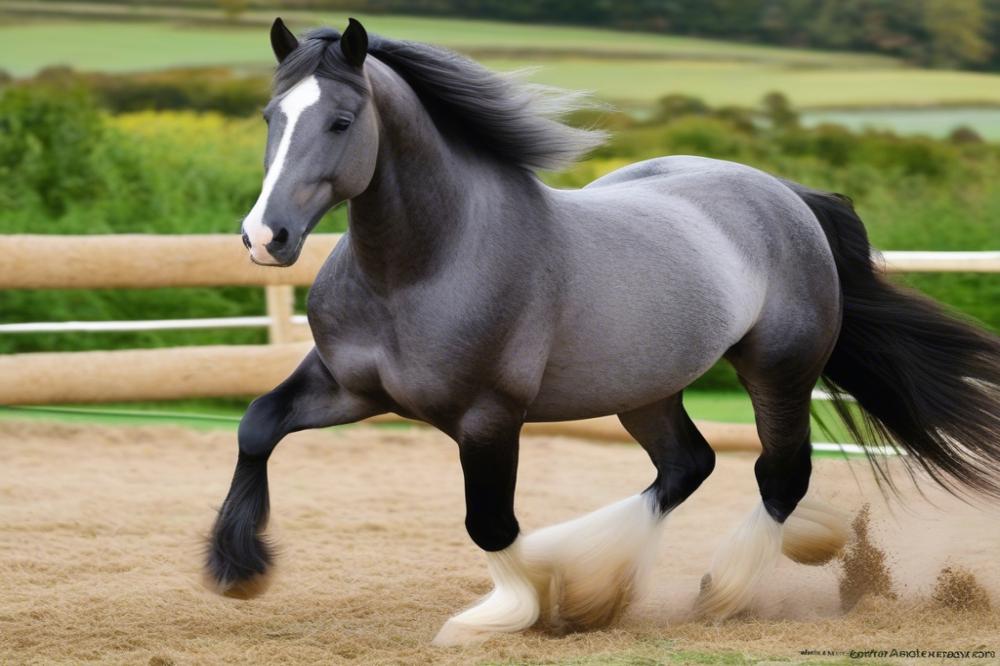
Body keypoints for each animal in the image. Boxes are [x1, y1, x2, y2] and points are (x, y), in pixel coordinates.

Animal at [203, 18, 1000, 644]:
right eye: (271, 117)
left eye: (341, 122)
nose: (264, 237)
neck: (424, 264)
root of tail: (786, 195)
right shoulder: (347, 386)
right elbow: (257, 425)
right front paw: (238, 570)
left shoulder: (488, 416)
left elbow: (489, 521)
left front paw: (500, 614)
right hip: (646, 389)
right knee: (686, 466)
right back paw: (588, 580)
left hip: (777, 370)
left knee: (779, 475)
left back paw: (717, 590)